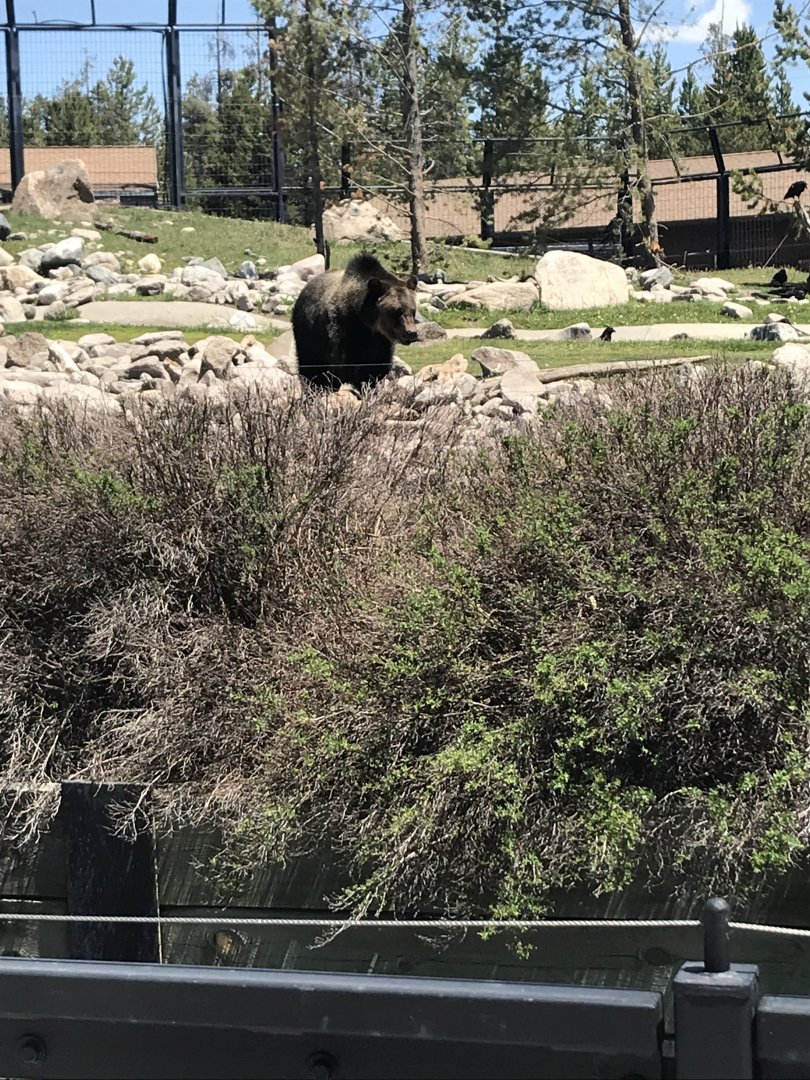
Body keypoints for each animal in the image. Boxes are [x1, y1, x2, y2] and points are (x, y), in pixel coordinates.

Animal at [292, 253, 419, 391]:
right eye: (396, 311)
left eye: (413, 310)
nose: (411, 332)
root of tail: (304, 289)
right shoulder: (345, 332)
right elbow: (343, 368)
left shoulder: (381, 343)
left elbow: (375, 370)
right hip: (308, 335)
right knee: (310, 367)